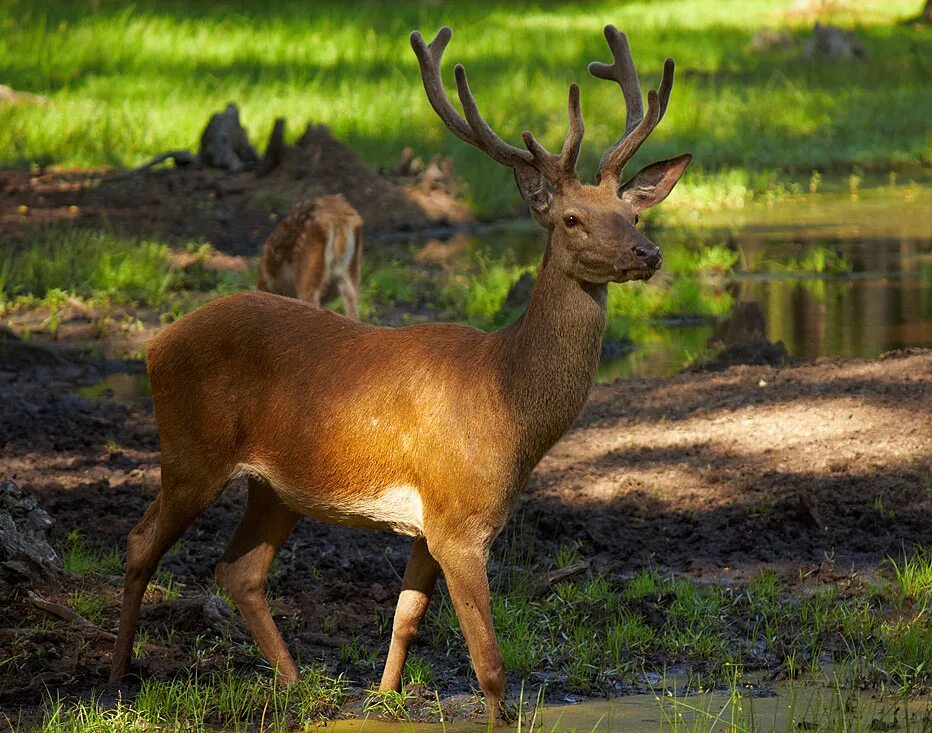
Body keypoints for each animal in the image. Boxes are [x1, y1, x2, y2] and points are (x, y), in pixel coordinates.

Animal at [111, 24, 692, 728]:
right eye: (572, 218)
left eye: (632, 214)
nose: (647, 252)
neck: (508, 405)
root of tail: (154, 345)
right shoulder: (461, 524)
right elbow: (491, 668)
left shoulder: (433, 522)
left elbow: (406, 618)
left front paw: (384, 699)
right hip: (190, 451)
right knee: (140, 542)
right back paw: (115, 676)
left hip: (275, 486)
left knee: (239, 571)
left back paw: (297, 686)